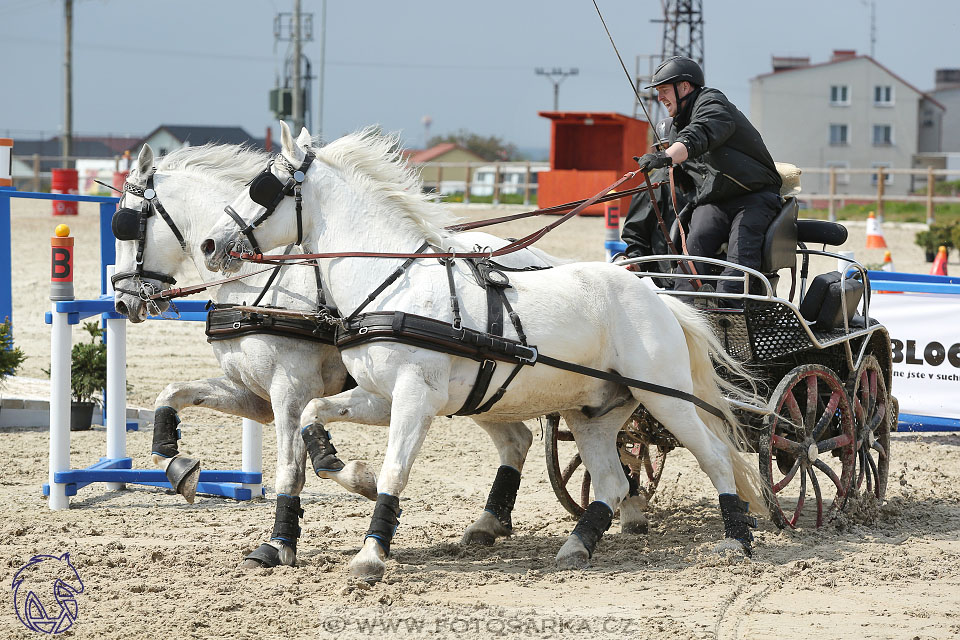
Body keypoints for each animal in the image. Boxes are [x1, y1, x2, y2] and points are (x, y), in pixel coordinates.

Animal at [112, 139, 564, 564]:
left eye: (128, 223)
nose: (121, 301)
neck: (264, 284)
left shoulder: (291, 391)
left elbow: (293, 470)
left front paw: (281, 541)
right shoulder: (257, 397)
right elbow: (172, 394)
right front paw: (177, 465)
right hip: (483, 390)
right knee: (517, 440)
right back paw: (489, 523)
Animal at [201, 121, 764, 580]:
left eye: (262, 186)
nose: (210, 244)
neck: (394, 283)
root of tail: (656, 293)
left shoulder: (415, 399)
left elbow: (395, 471)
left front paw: (370, 554)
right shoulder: (380, 397)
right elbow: (315, 414)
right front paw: (337, 464)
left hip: (666, 397)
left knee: (716, 457)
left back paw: (736, 541)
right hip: (593, 412)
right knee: (609, 481)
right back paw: (575, 547)